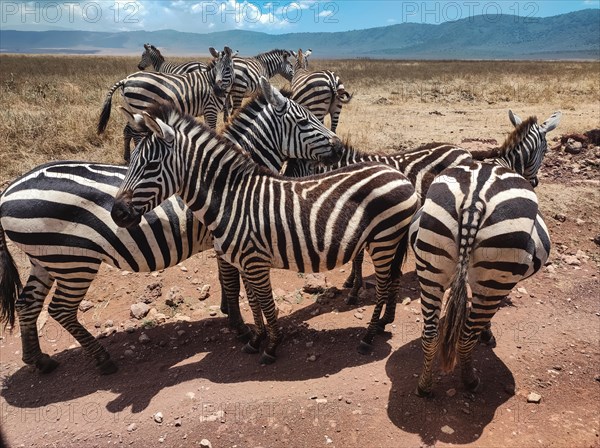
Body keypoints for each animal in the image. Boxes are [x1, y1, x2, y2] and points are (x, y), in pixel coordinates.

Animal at [0, 80, 342, 374]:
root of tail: (7, 191)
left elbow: (227, 280)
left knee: (27, 304)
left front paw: (228, 314)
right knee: (59, 310)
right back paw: (103, 359)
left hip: (45, 258)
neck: (226, 182)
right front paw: (240, 327)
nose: (339, 147)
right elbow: (231, 282)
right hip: (73, 260)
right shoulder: (224, 240)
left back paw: (39, 360)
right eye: (306, 121)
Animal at [96, 45, 234, 161]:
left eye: (227, 69)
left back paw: (127, 157)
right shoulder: (210, 110)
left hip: (131, 108)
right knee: (135, 132)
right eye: (216, 69)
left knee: (127, 130)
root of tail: (126, 79)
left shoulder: (208, 111)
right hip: (140, 106)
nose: (216, 90)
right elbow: (212, 131)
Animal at [112, 90, 420, 364]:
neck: (231, 199)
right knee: (392, 279)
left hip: (384, 240)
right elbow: (252, 301)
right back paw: (382, 325)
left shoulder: (255, 261)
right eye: (132, 161)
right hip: (389, 242)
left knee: (382, 286)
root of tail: (400, 175)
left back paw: (368, 337)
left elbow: (265, 302)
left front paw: (271, 346)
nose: (117, 213)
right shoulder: (242, 261)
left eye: (151, 165)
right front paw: (255, 339)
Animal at [410, 110, 560, 398]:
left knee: (430, 333)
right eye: (546, 148)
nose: (536, 181)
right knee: (466, 337)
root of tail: (474, 200)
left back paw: (424, 385)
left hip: (430, 263)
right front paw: (487, 334)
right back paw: (470, 380)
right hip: (497, 276)